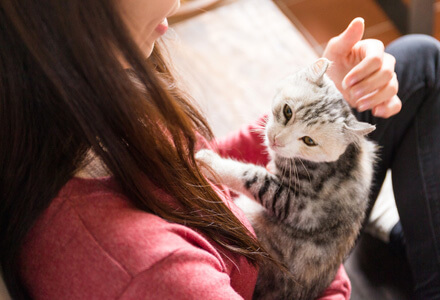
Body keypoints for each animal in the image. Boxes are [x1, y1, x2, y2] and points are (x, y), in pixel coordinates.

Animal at [198, 58, 376, 300]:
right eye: (288, 111)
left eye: (309, 141)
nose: (276, 139)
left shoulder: (298, 204)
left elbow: (252, 176)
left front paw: (209, 162)